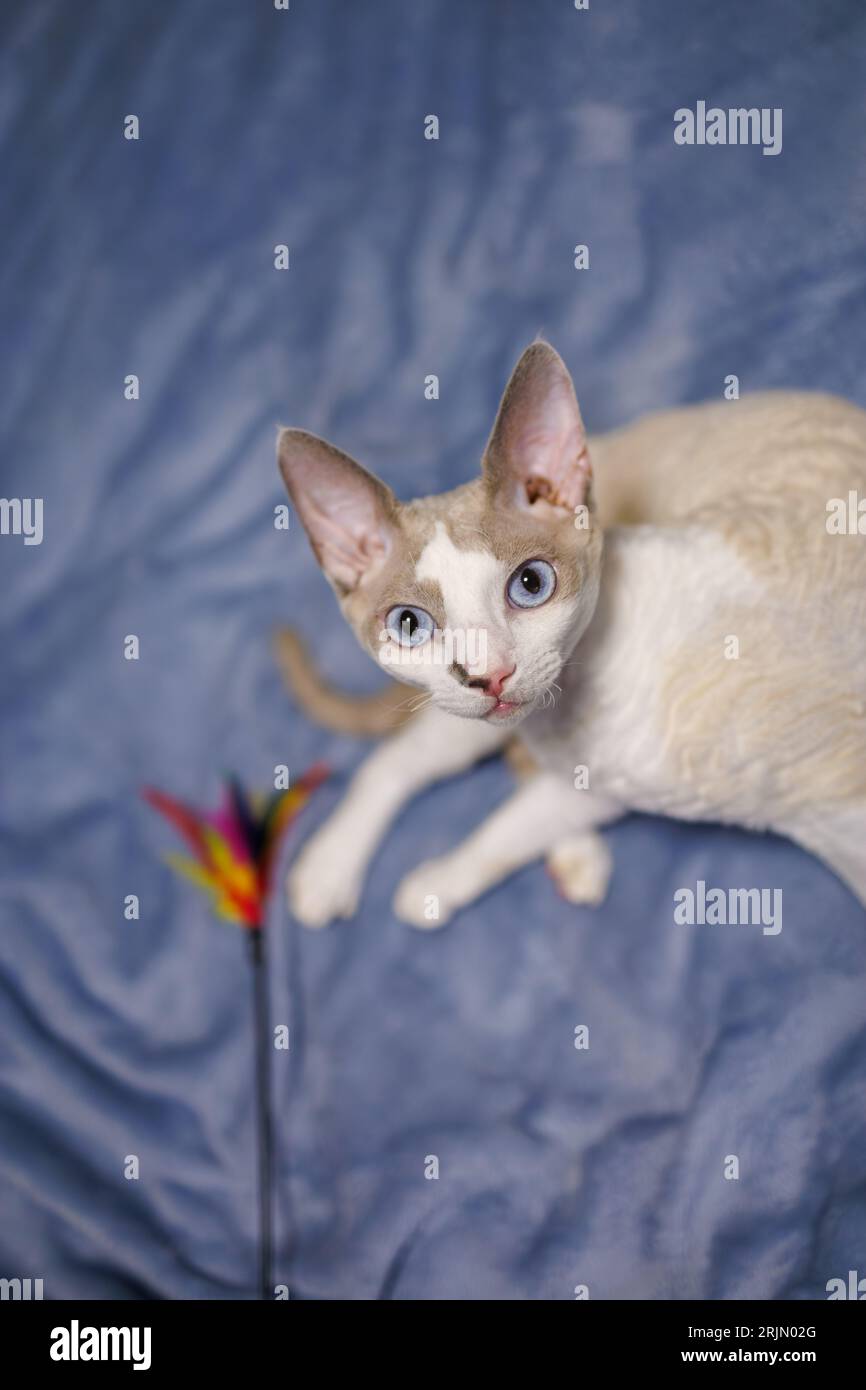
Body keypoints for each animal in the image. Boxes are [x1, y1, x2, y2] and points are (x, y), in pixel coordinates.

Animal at [278, 340, 866, 928]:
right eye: (408, 625)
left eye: (531, 583)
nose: (489, 674)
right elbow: (502, 825)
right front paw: (426, 890)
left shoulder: (613, 783)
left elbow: (514, 829)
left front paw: (435, 886)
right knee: (396, 759)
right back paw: (328, 871)